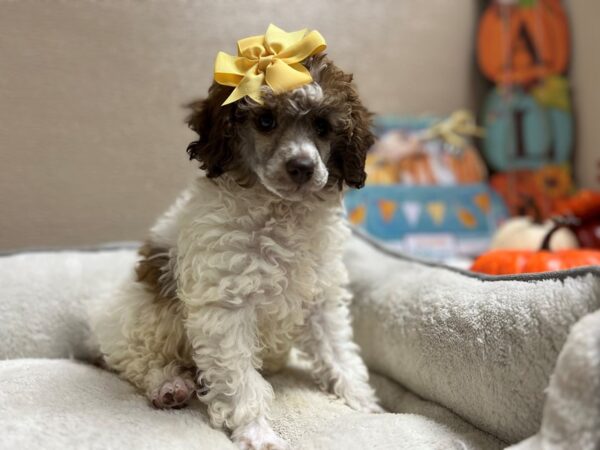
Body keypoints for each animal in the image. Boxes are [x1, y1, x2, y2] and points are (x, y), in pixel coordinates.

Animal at [91, 55, 382, 450]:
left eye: (322, 125)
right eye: (266, 121)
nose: (302, 167)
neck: (281, 212)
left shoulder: (321, 297)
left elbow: (337, 350)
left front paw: (364, 403)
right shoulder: (227, 309)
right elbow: (240, 377)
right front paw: (258, 432)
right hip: (136, 326)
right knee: (139, 363)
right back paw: (169, 386)